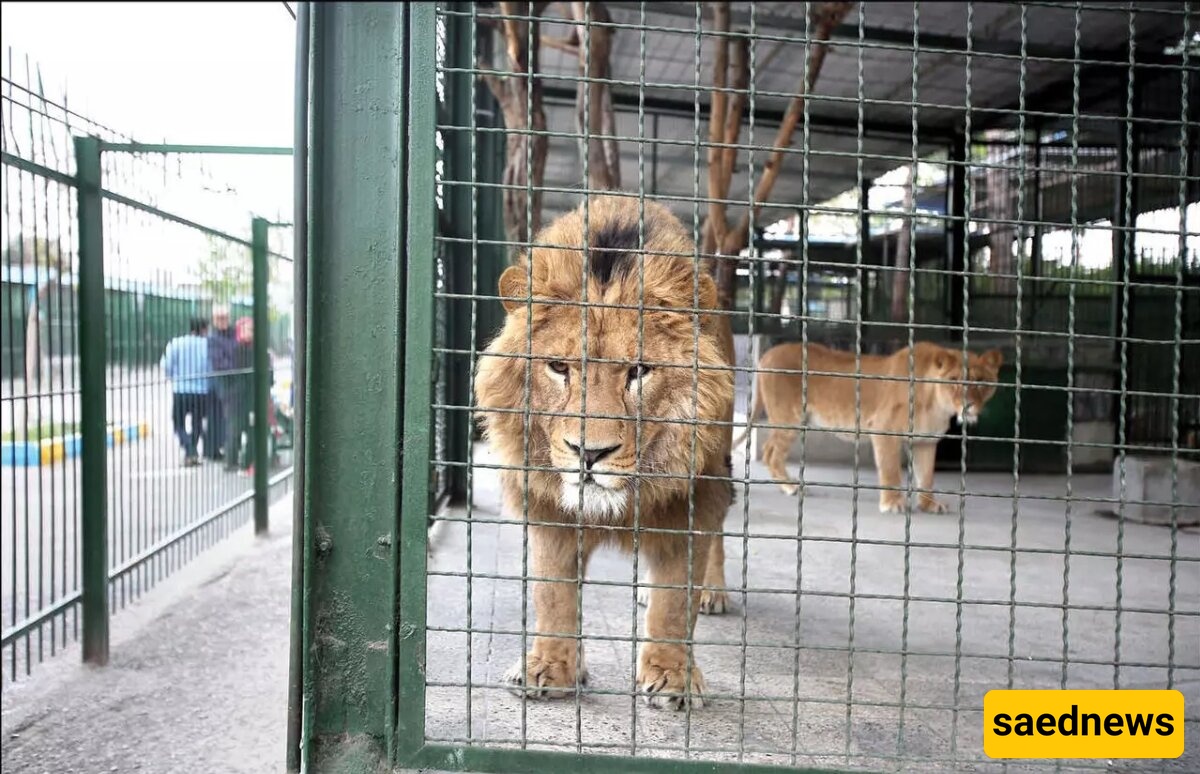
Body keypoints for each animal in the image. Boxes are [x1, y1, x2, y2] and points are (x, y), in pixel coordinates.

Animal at [473, 194, 735, 710]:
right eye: (558, 367)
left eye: (638, 371)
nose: (588, 453)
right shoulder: (547, 505)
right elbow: (552, 593)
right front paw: (549, 668)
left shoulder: (692, 500)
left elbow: (675, 601)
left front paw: (672, 677)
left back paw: (712, 593)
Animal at [733, 341, 1003, 513]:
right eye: (954, 380)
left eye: (981, 381)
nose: (969, 405)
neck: (937, 404)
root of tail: (766, 354)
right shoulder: (883, 429)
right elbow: (891, 471)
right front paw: (892, 503)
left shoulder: (926, 441)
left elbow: (926, 476)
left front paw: (929, 505)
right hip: (790, 418)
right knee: (771, 452)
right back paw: (791, 487)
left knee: (769, 450)